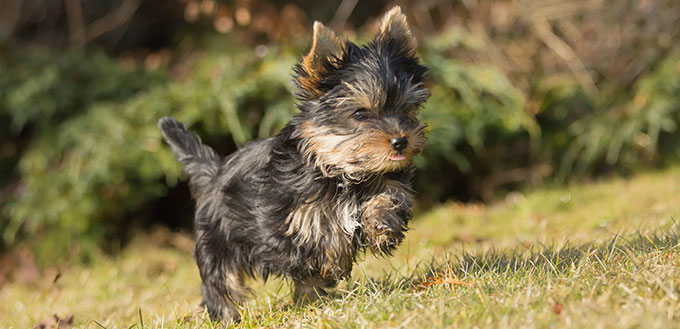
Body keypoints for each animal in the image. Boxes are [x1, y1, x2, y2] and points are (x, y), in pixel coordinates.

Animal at [157, 6, 428, 322]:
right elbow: (322, 240)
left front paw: (383, 223)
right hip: (216, 240)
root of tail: (214, 174)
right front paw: (336, 260)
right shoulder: (279, 222)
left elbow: (390, 195)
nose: (400, 141)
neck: (340, 171)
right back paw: (227, 316)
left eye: (406, 109)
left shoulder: (386, 179)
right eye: (361, 114)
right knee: (219, 280)